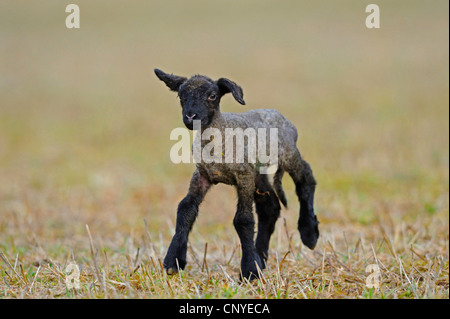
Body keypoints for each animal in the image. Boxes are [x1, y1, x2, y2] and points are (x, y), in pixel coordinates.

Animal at [155, 68, 320, 280]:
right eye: (181, 95)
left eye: (212, 95)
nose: (191, 117)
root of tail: (283, 118)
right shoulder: (203, 175)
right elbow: (185, 209)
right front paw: (173, 261)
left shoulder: (244, 177)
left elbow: (243, 220)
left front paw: (249, 270)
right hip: (258, 171)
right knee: (270, 207)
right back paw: (261, 256)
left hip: (287, 155)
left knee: (306, 178)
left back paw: (309, 233)